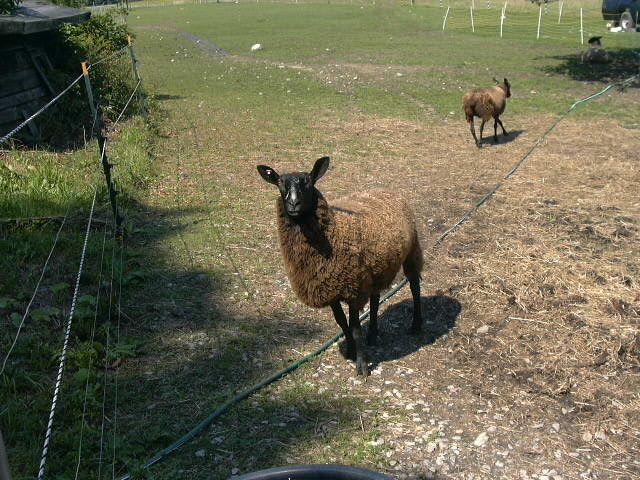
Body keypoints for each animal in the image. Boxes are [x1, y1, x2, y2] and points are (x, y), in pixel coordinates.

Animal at [255, 157, 424, 376]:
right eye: (280, 183)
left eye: (308, 182)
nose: (293, 203)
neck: (333, 231)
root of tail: (387, 190)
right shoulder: (331, 289)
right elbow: (342, 322)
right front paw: (351, 350)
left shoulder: (353, 289)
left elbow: (355, 328)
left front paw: (362, 366)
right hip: (375, 268)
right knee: (376, 298)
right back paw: (373, 333)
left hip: (411, 250)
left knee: (414, 285)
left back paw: (416, 324)